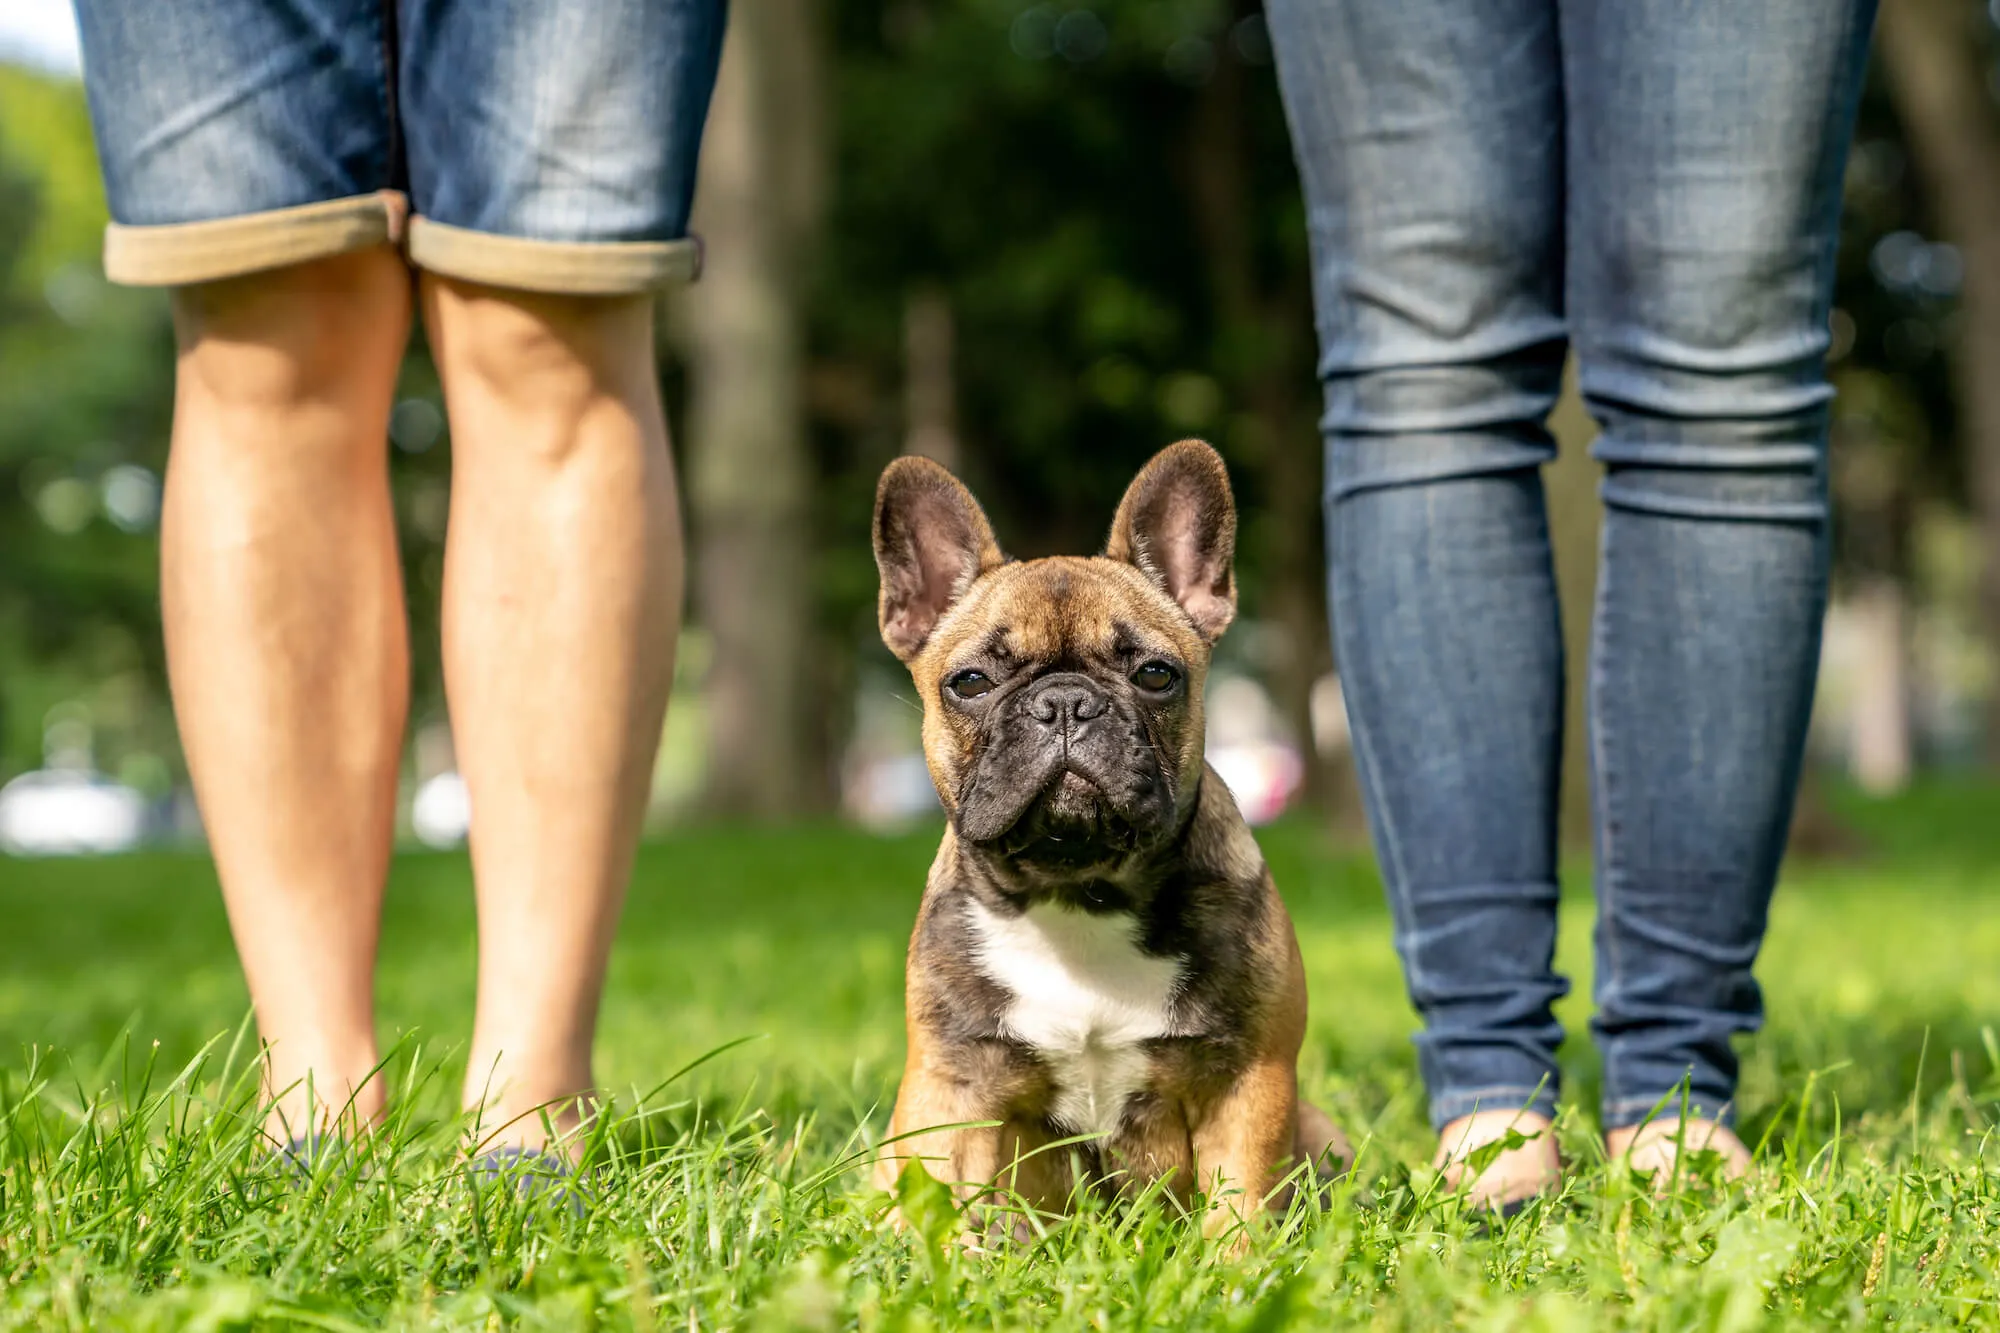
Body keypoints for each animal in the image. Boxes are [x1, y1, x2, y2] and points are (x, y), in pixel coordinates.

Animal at [868, 436, 1352, 1232]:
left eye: (1157, 674)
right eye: (969, 682)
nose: (1066, 702)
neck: (1079, 893)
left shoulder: (1247, 1084)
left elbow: (1239, 1207)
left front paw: (1237, 1261)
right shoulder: (951, 1087)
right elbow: (935, 1205)